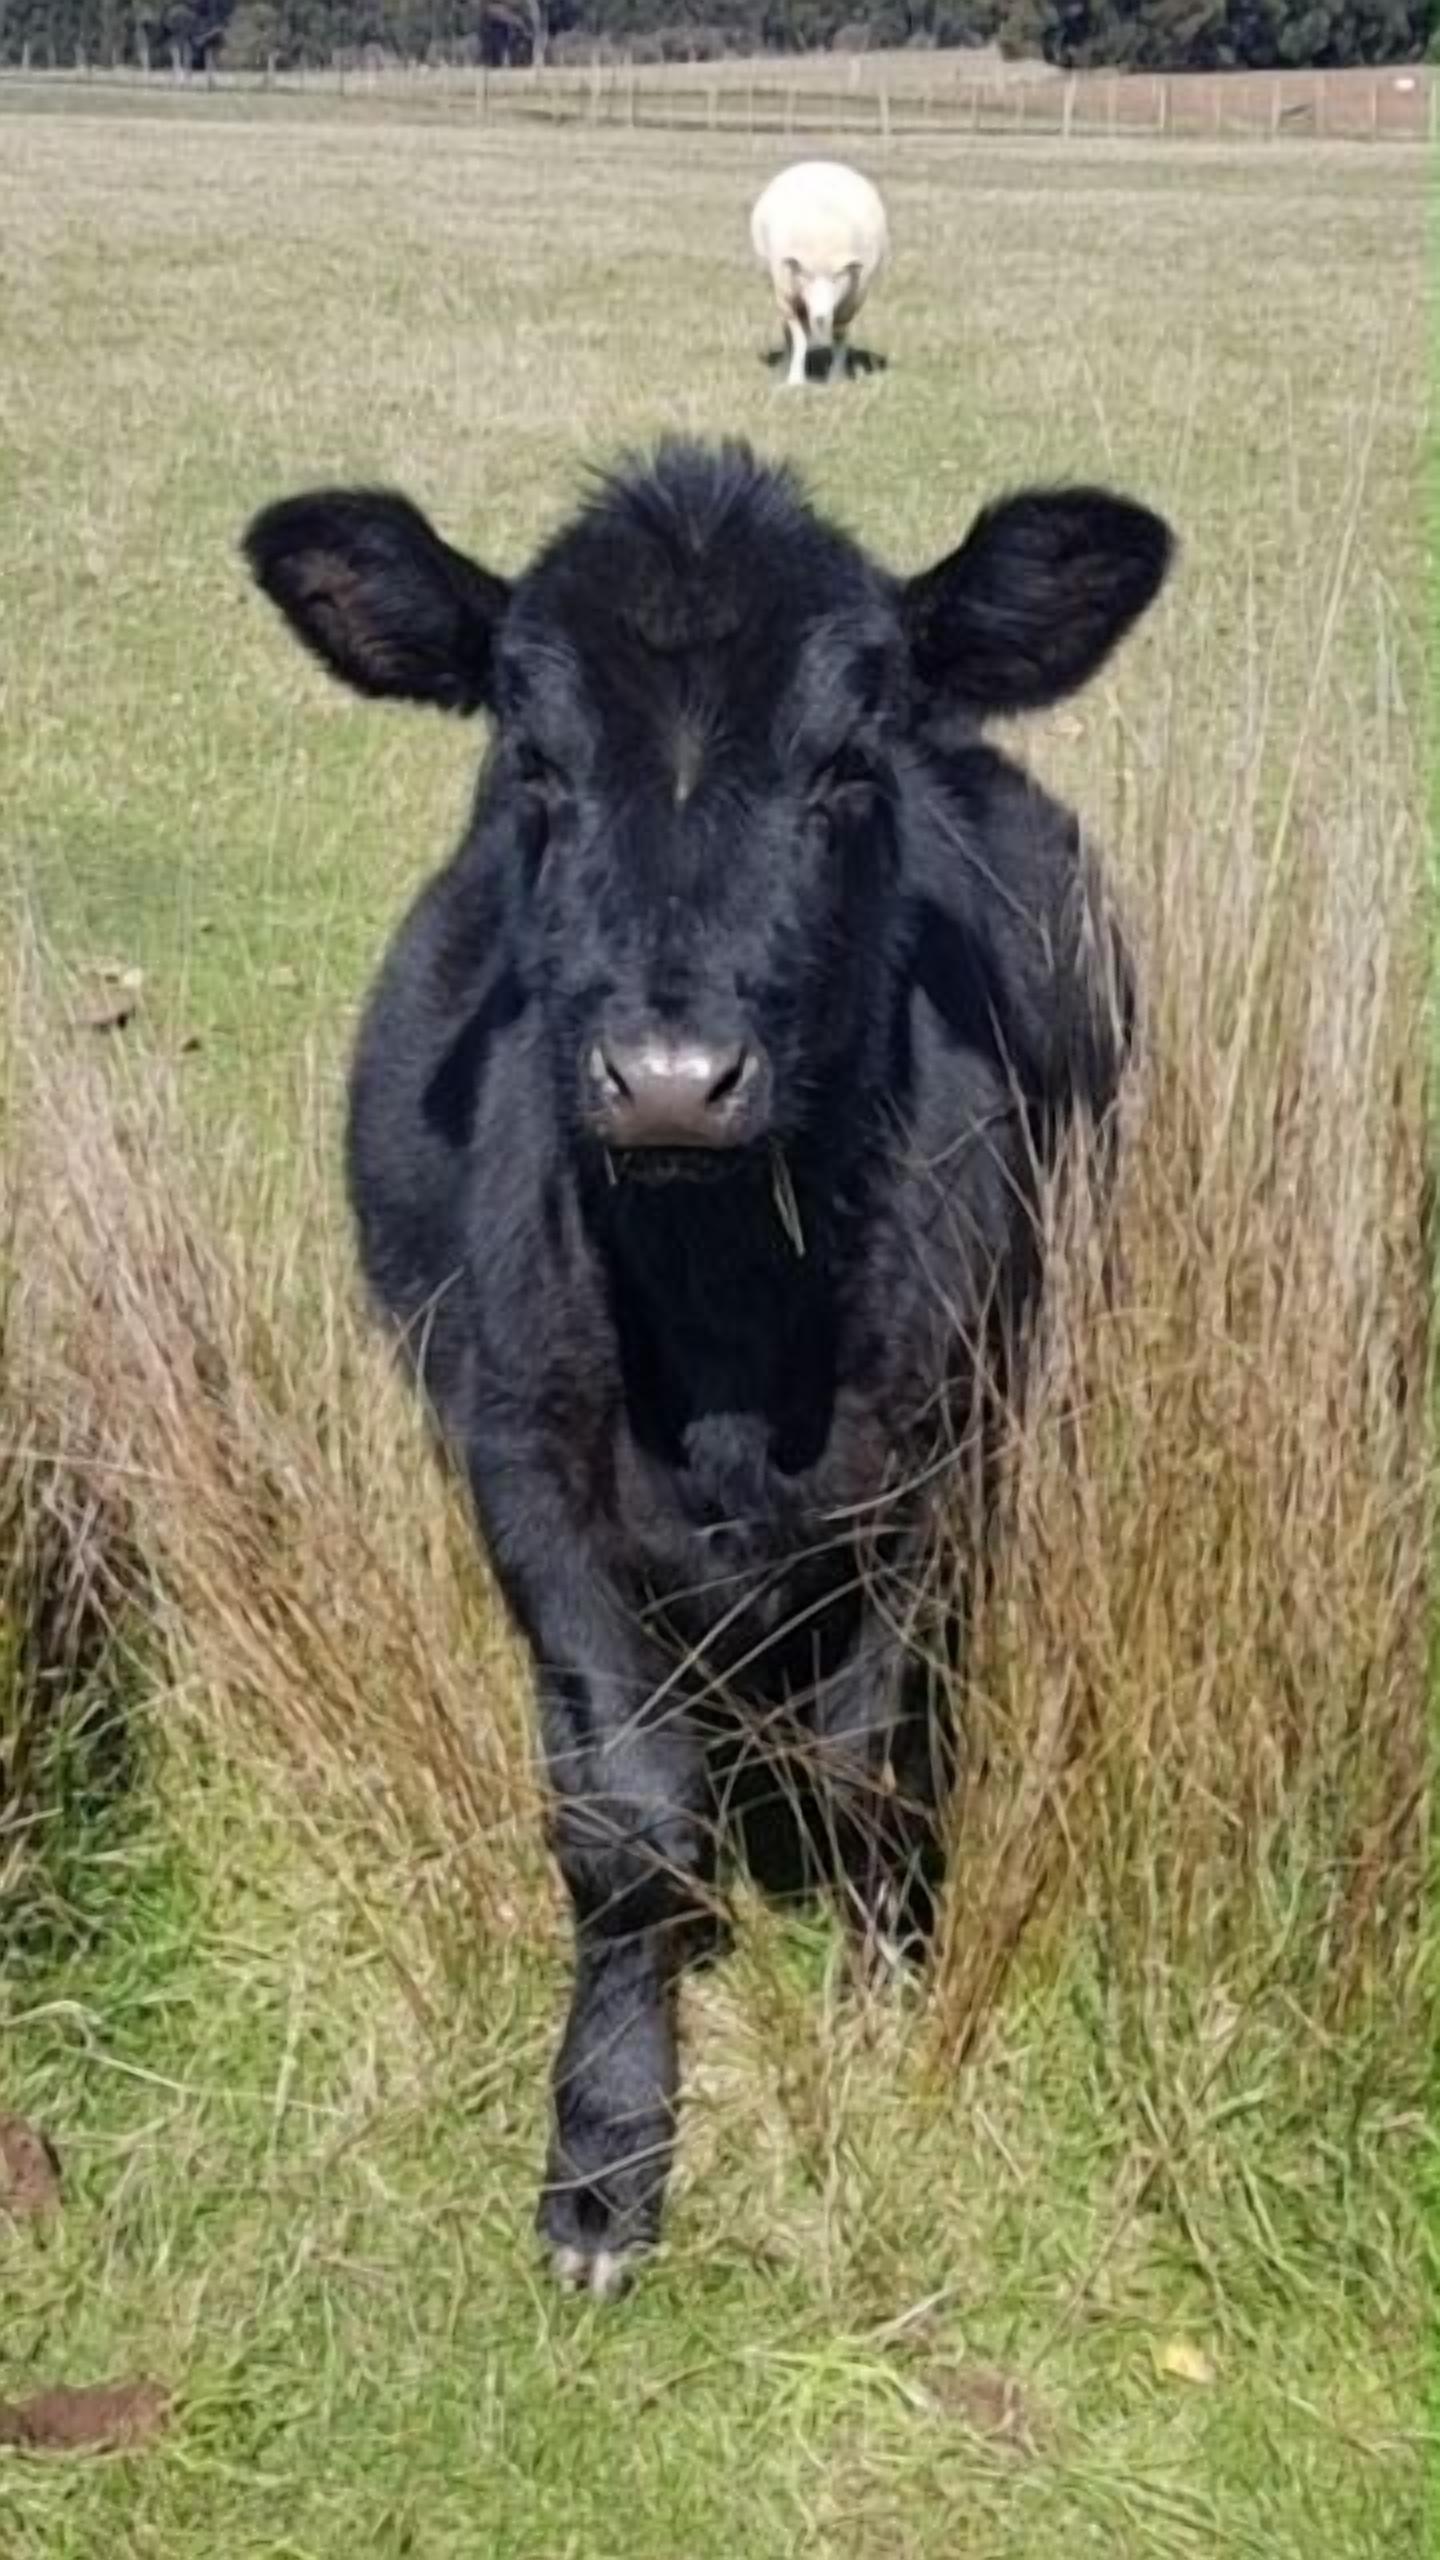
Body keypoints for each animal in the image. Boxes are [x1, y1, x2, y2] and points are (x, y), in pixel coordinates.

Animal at [242, 440, 1173, 2298]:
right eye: (532, 759)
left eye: (849, 762)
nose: (672, 1078)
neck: (736, 1326)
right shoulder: (519, 1461)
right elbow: (623, 1821)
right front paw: (606, 2154)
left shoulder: (951, 1443)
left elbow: (877, 1760)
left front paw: (884, 2005)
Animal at [750, 160, 889, 389]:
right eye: (806, 276)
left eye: (837, 277)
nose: (821, 317)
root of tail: (820, 163)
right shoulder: (789, 297)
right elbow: (799, 338)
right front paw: (795, 378)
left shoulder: (850, 301)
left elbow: (839, 336)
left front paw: (836, 376)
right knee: (789, 334)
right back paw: (786, 363)